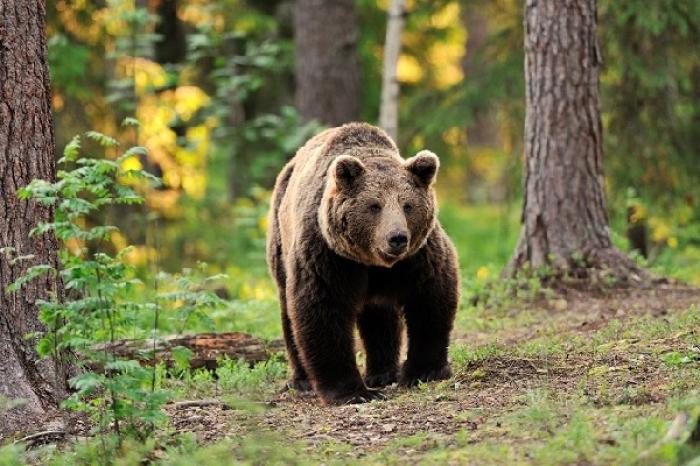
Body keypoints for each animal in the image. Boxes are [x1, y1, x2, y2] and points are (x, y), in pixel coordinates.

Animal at [266, 124, 460, 404]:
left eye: (407, 205)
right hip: (281, 242)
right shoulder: (329, 256)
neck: (372, 261)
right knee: (288, 313)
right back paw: (301, 379)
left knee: (380, 315)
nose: (397, 238)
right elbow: (323, 309)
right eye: (374, 206)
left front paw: (425, 371)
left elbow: (430, 298)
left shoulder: (418, 256)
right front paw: (351, 391)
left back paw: (383, 373)